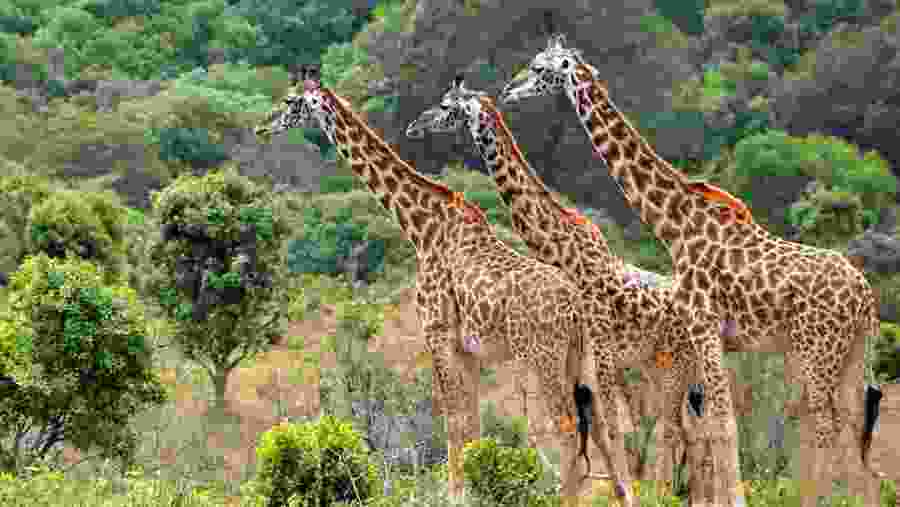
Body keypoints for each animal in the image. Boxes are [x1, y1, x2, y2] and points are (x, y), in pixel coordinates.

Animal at [255, 66, 613, 507]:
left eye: (290, 101)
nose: (261, 126)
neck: (421, 229)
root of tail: (576, 309)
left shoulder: (437, 332)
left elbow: (453, 421)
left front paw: (456, 494)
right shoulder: (469, 349)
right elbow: (472, 423)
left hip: (542, 356)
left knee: (567, 429)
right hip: (580, 359)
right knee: (600, 429)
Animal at [405, 76, 741, 491]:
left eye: (445, 106)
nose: (414, 126)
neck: (559, 245)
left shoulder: (593, 352)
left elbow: (606, 428)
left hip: (676, 362)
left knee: (679, 430)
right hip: (669, 366)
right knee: (693, 431)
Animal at [500, 33, 885, 507]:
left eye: (539, 68)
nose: (507, 90)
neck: (674, 226)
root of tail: (866, 297)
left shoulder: (702, 325)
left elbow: (721, 424)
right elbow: (710, 425)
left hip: (818, 352)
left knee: (825, 428)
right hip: (851, 353)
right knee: (853, 429)